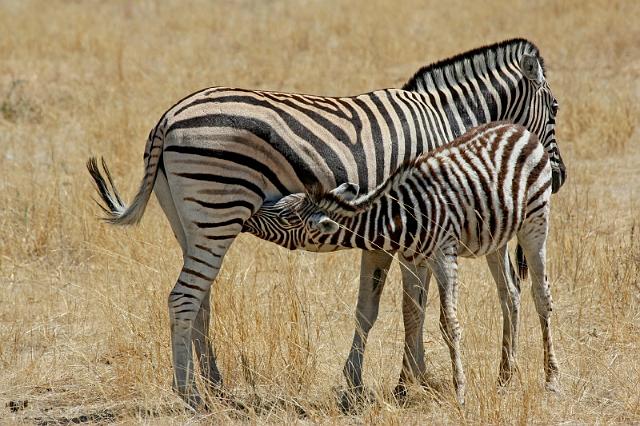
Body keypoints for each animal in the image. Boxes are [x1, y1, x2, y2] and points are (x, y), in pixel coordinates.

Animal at [86, 37, 564, 406]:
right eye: (556, 108)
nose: (557, 178)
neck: (444, 121)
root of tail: (167, 119)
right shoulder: (415, 225)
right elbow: (411, 307)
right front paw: (410, 382)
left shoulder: (395, 231)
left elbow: (380, 309)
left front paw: (377, 382)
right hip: (217, 211)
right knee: (184, 298)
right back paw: (190, 395)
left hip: (190, 224)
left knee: (200, 299)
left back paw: (216, 386)